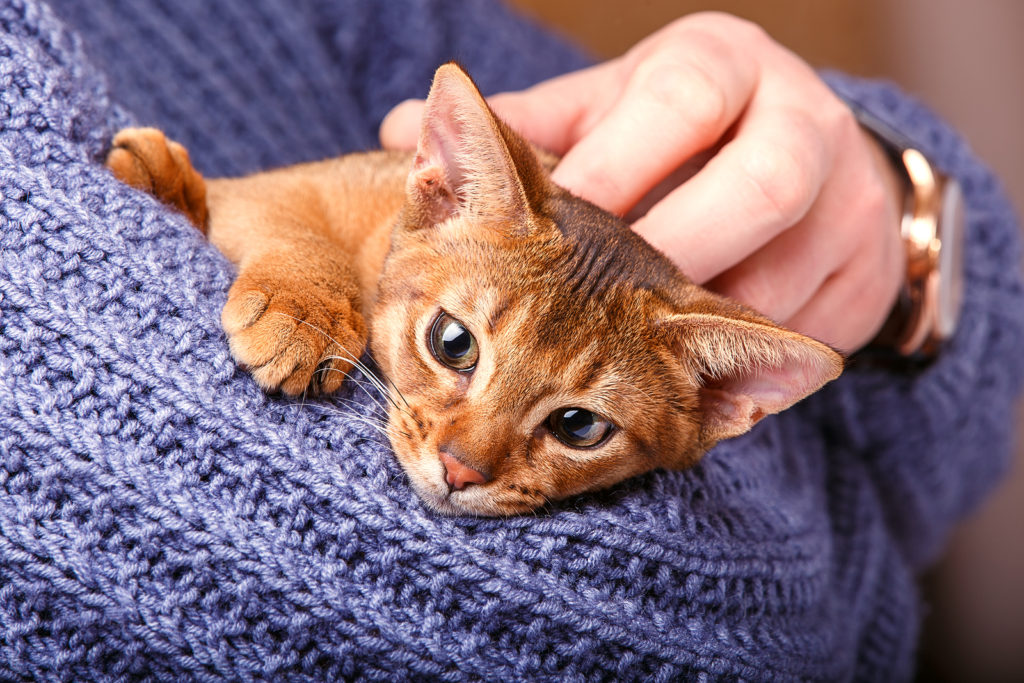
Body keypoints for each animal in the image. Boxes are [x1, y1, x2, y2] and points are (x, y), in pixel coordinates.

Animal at [103, 63, 843, 516]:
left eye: (579, 426)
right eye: (452, 342)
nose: (459, 472)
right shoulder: (287, 190)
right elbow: (294, 226)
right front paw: (303, 310)